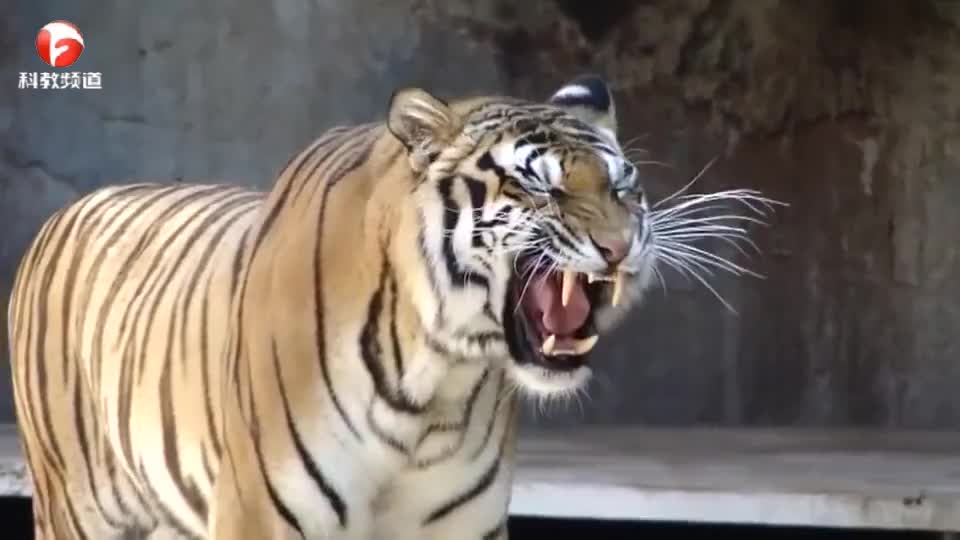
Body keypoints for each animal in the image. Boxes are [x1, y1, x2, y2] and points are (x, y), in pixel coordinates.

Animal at [8, 75, 668, 540]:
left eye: (622, 186)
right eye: (538, 186)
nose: (621, 247)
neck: (435, 386)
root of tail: (71, 209)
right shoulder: (261, 515)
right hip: (76, 506)